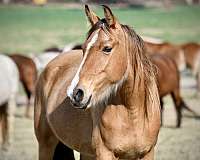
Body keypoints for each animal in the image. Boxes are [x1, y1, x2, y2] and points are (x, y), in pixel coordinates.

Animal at [33, 5, 160, 160]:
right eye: (83, 48)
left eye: (107, 48)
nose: (75, 93)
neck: (133, 113)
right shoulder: (105, 153)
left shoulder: (148, 153)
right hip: (45, 145)